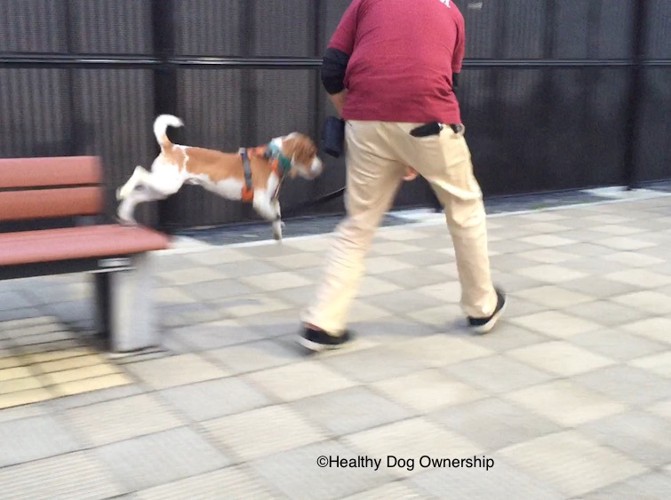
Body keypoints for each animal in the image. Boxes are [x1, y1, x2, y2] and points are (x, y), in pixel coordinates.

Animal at [117, 114, 324, 239]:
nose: (321, 168)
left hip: (161, 189)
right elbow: (274, 215)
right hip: (165, 184)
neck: (273, 158)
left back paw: (125, 214)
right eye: (311, 153)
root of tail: (171, 147)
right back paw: (123, 191)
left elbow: (277, 217)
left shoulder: (272, 200)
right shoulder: (261, 201)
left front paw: (278, 235)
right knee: (138, 172)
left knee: (136, 196)